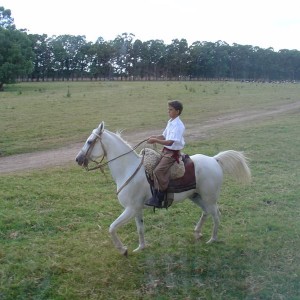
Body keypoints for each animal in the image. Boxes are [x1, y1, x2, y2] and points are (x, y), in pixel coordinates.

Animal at [75, 121, 251, 255]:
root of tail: (214, 160)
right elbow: (140, 228)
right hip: (196, 196)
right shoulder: (137, 210)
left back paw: (212, 239)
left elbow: (111, 228)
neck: (128, 169)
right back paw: (197, 232)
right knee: (206, 212)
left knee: (216, 215)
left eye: (90, 141)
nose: (78, 159)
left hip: (209, 198)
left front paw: (123, 249)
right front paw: (141, 247)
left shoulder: (130, 209)